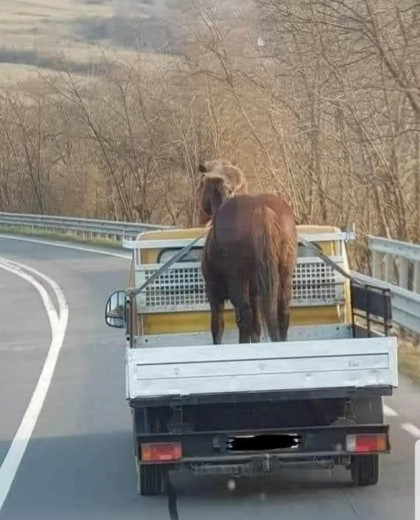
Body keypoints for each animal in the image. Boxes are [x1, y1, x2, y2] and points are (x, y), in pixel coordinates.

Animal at [198, 160, 298, 344]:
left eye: (202, 186)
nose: (201, 215)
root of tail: (263, 210)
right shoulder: (255, 294)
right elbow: (256, 328)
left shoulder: (213, 294)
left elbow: (218, 328)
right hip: (285, 273)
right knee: (282, 311)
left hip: (238, 281)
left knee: (244, 316)